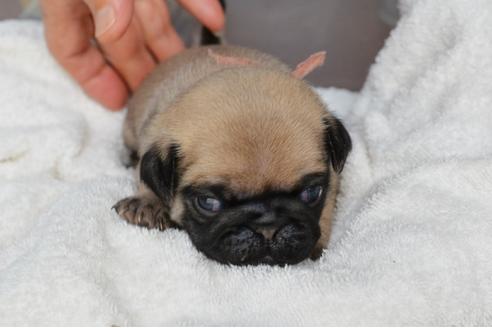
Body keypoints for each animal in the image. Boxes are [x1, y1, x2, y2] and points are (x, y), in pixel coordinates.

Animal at [112, 45, 350, 266]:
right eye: (208, 202)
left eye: (312, 193)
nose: (268, 228)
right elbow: (145, 177)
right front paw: (148, 202)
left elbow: (327, 210)